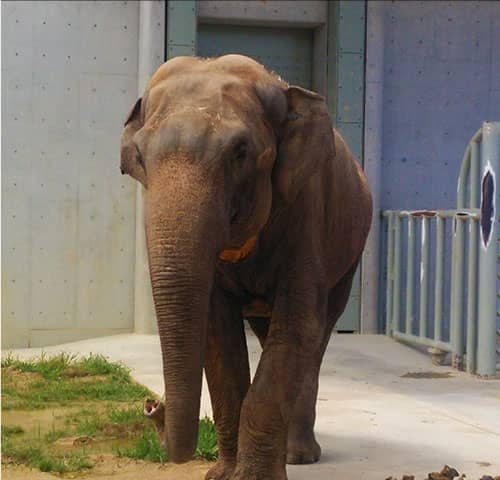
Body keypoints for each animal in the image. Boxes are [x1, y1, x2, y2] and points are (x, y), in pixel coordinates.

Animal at [120, 54, 372, 478]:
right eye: (138, 156)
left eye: (240, 152)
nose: (152, 405)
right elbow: (218, 335)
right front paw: (223, 475)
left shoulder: (308, 211)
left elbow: (297, 326)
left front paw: (252, 477)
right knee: (268, 330)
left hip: (350, 247)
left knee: (318, 332)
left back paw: (299, 456)